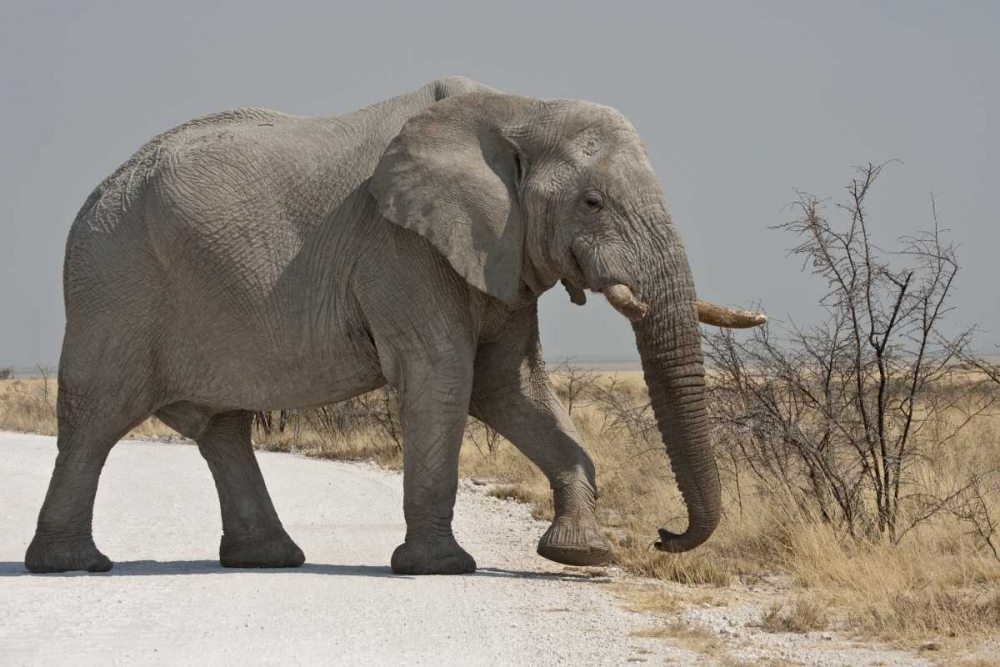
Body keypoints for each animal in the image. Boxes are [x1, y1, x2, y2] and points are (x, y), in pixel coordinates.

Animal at [23, 77, 760, 576]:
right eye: (593, 202)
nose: (665, 535)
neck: (517, 109)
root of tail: (99, 190)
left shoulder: (498, 249)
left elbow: (509, 386)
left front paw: (583, 554)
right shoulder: (400, 246)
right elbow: (445, 375)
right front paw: (439, 568)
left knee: (221, 428)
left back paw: (268, 558)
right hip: (114, 280)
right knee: (98, 416)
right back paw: (72, 565)